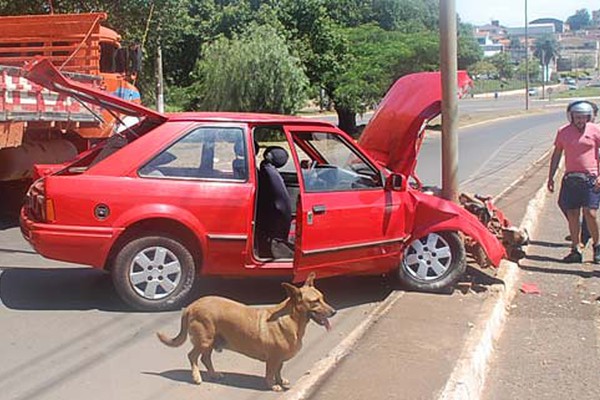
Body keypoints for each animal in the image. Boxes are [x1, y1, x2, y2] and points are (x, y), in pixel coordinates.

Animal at [156, 272, 338, 390]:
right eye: (315, 302)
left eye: (323, 298)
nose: (334, 312)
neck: (291, 319)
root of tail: (191, 306)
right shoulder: (273, 359)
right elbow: (270, 373)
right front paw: (272, 386)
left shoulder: (279, 360)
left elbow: (278, 371)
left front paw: (280, 381)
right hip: (204, 340)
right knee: (192, 356)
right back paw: (196, 377)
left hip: (210, 342)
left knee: (205, 358)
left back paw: (214, 375)